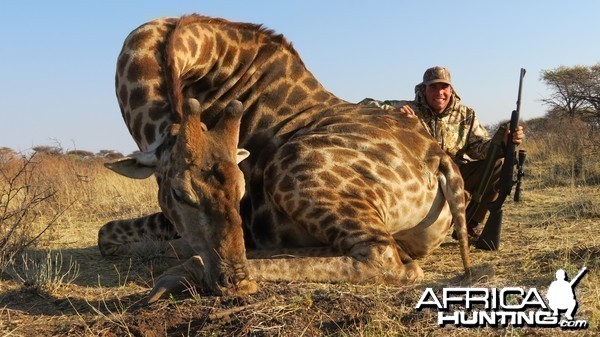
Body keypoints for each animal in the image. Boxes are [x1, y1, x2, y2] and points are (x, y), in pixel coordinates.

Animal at [98, 13, 472, 302]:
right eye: (179, 192)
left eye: (241, 188)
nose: (234, 281)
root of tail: (439, 161)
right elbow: (107, 234)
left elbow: (109, 236)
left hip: (288, 168)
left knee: (384, 259)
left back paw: (188, 270)